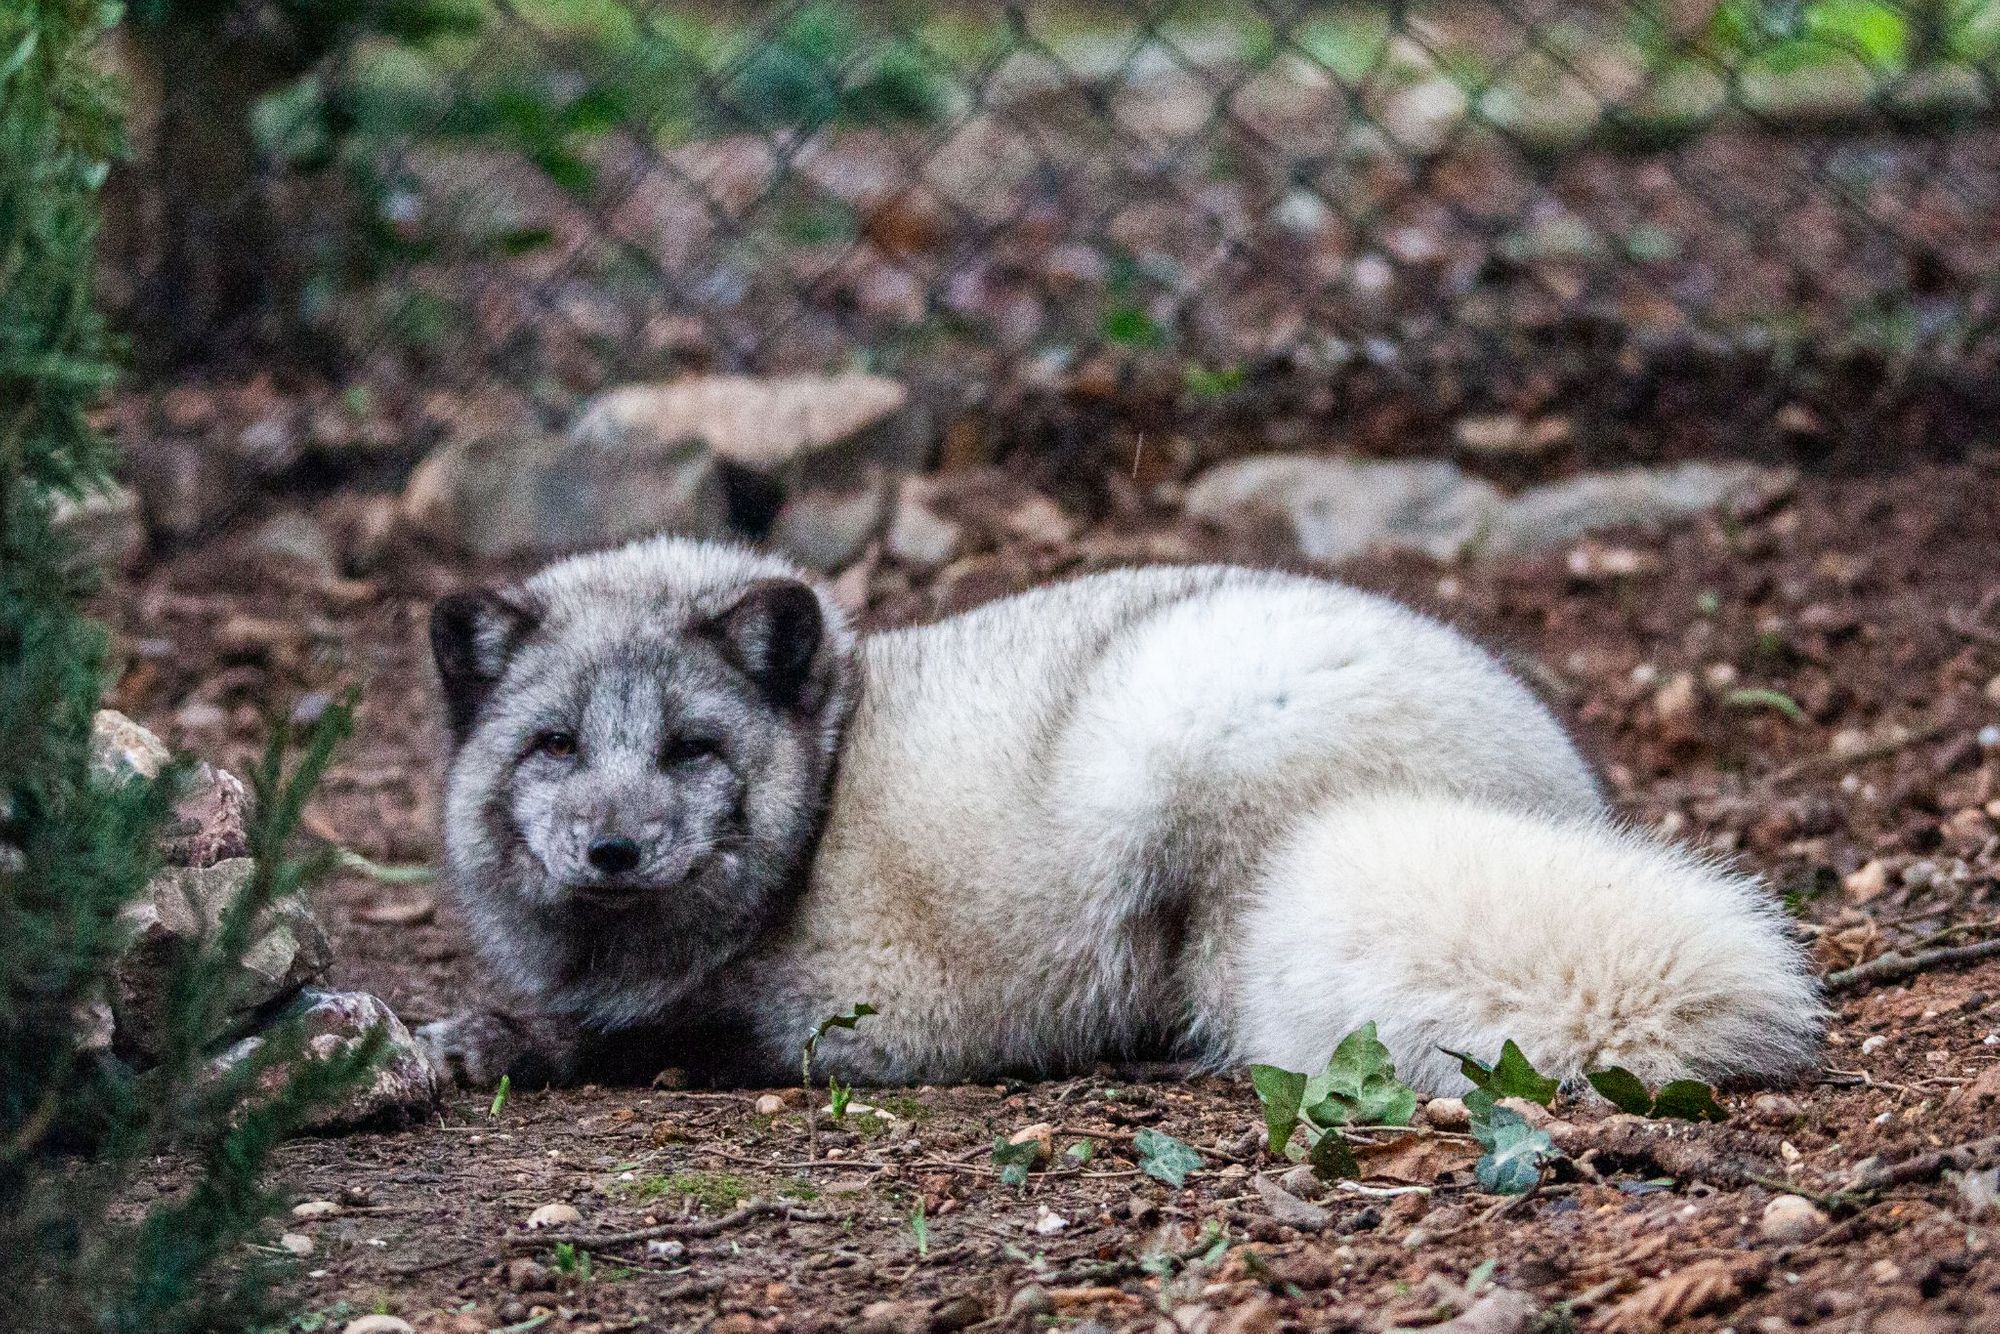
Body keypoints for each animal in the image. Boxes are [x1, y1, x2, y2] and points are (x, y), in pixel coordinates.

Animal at [415, 536, 1824, 1095]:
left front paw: (479, 1040)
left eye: (690, 748)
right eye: (553, 744)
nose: (610, 847)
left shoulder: (849, 1017)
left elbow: (650, 1037)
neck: (826, 769)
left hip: (1177, 732)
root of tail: (1560, 792)